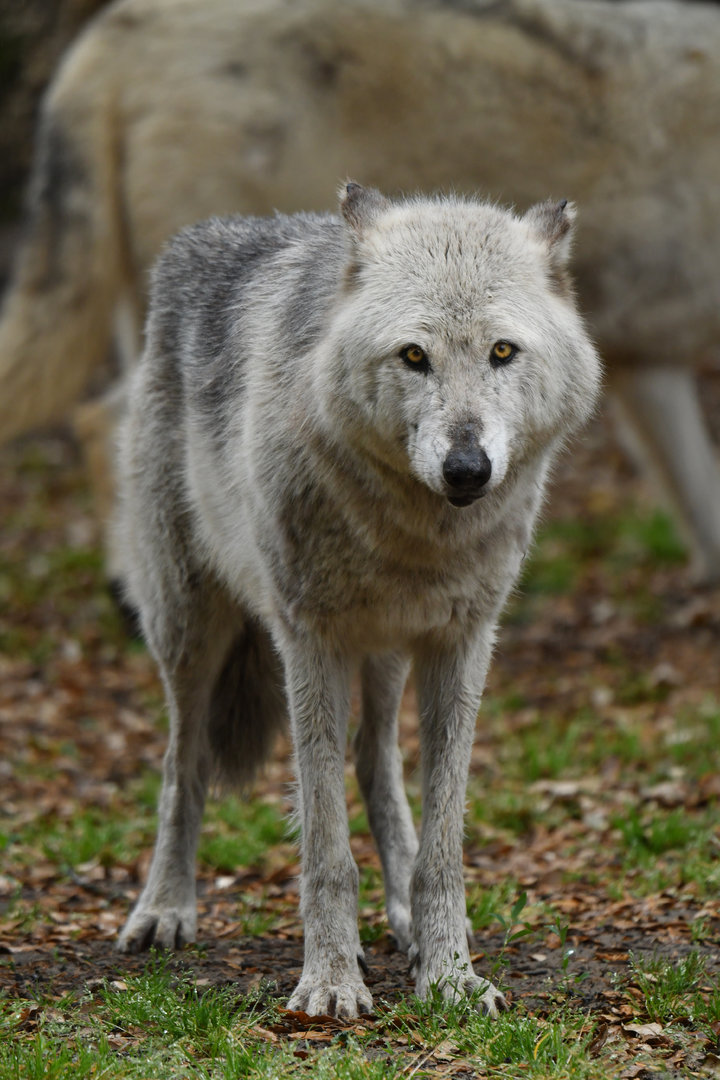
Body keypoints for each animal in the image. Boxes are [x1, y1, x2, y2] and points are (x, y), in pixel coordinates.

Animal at [114, 183, 601, 1018]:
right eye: (414, 356)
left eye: (502, 352)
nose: (467, 468)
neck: (414, 534)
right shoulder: (310, 642)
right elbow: (324, 846)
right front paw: (332, 982)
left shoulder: (461, 645)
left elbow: (442, 844)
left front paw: (450, 974)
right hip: (190, 629)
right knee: (185, 762)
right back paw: (165, 909)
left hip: (386, 654)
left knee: (376, 764)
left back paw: (403, 918)